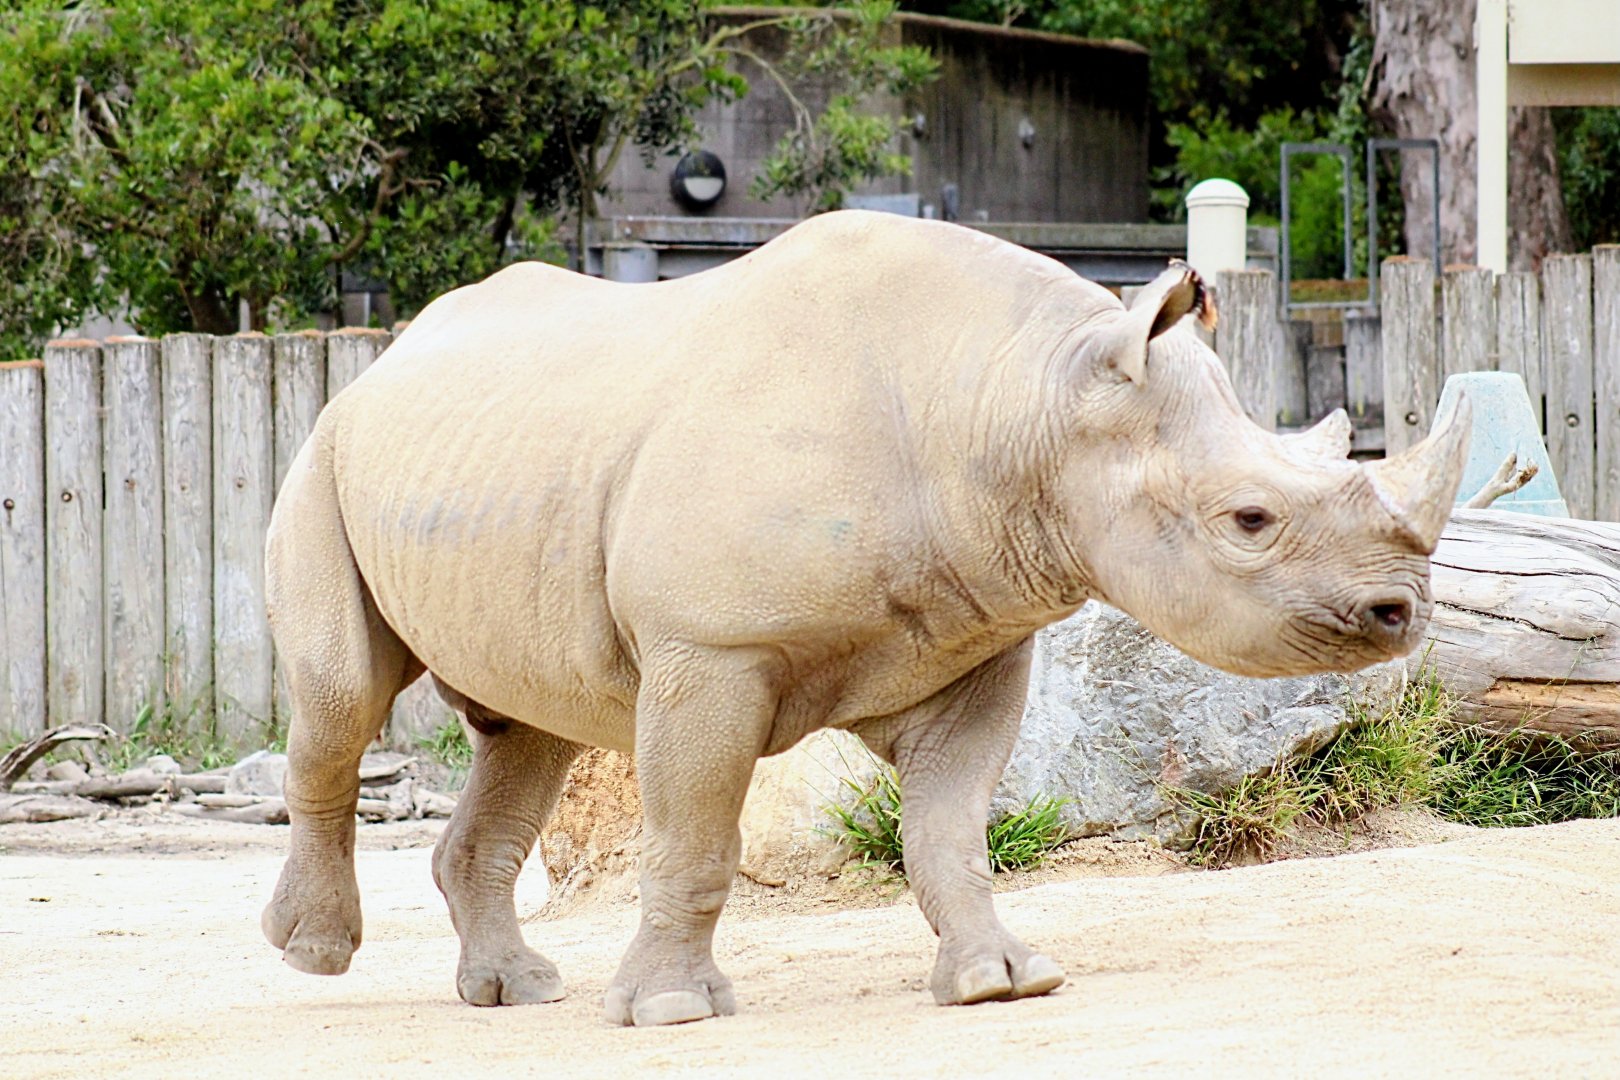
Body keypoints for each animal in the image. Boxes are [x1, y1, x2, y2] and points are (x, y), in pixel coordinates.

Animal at [262, 210, 1470, 1027]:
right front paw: (672, 1013)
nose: (1399, 613)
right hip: (322, 454)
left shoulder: (975, 641)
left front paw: (1000, 983)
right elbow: (696, 834)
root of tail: (383, 357)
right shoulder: (711, 646)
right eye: (1249, 519)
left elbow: (949, 829)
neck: (1021, 402)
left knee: (526, 730)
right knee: (342, 702)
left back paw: (514, 992)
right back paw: (317, 954)